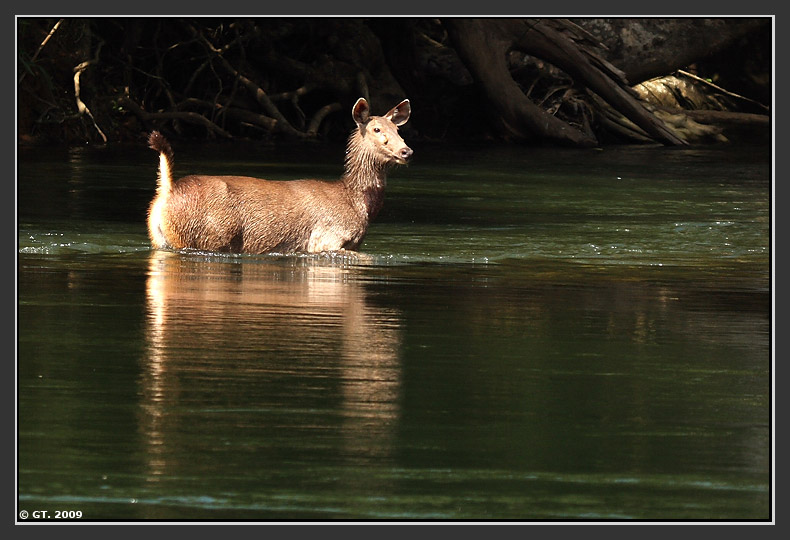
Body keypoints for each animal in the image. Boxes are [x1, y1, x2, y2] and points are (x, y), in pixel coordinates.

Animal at [146, 97, 414, 255]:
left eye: (397, 129)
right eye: (376, 129)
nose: (406, 151)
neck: (358, 203)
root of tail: (168, 192)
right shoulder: (325, 239)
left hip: (162, 238)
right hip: (206, 236)